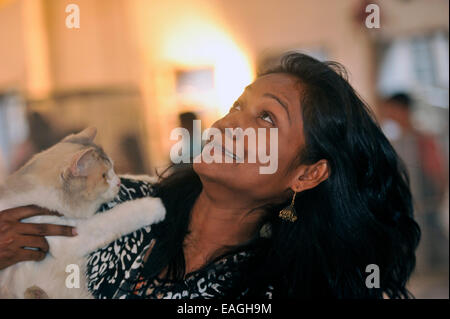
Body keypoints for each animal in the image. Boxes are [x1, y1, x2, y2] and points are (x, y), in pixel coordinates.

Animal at [0, 127, 165, 300]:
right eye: (104, 176)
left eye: (113, 168)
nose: (118, 183)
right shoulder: (72, 237)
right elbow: (119, 216)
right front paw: (156, 206)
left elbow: (133, 176)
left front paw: (156, 179)